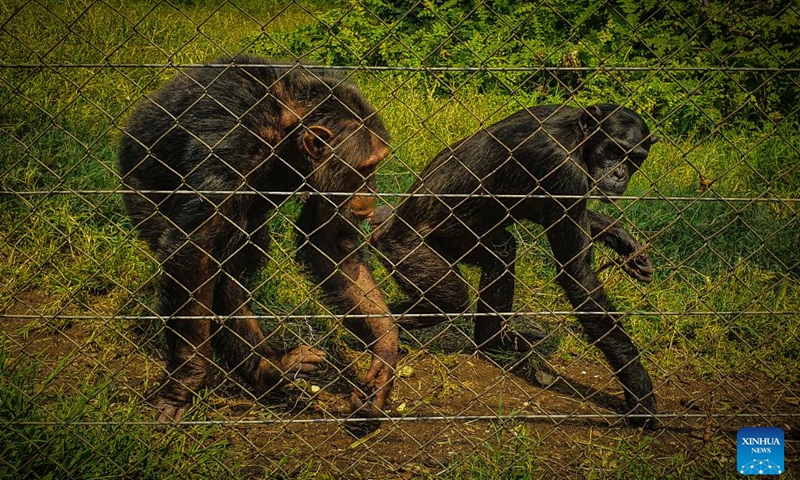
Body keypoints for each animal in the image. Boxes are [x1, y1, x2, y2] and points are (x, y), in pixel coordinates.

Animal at [118, 55, 396, 424]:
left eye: (374, 166)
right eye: (365, 169)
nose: (372, 190)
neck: (290, 125)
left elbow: (328, 240)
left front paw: (384, 355)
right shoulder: (232, 145)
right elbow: (196, 249)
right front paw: (185, 382)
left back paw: (270, 367)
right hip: (139, 189)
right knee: (215, 262)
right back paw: (265, 368)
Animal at [372, 104, 660, 428]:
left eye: (634, 158)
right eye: (614, 149)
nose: (620, 172)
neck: (578, 139)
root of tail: (382, 224)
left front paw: (623, 240)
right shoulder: (562, 169)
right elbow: (576, 273)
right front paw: (639, 390)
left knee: (503, 254)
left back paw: (495, 341)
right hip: (409, 251)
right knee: (449, 301)